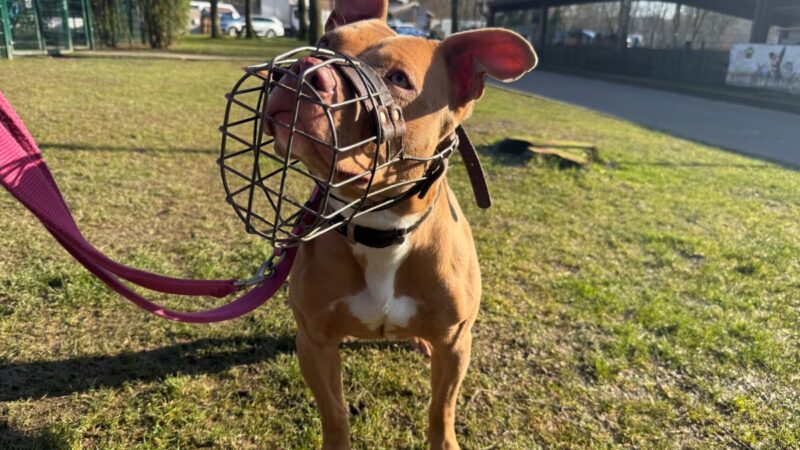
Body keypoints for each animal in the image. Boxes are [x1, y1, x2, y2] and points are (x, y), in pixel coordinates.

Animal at [264, 1, 536, 448]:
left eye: (398, 80)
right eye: (324, 43)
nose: (303, 67)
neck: (381, 226)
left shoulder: (456, 343)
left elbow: (441, 410)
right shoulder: (315, 343)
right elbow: (335, 414)